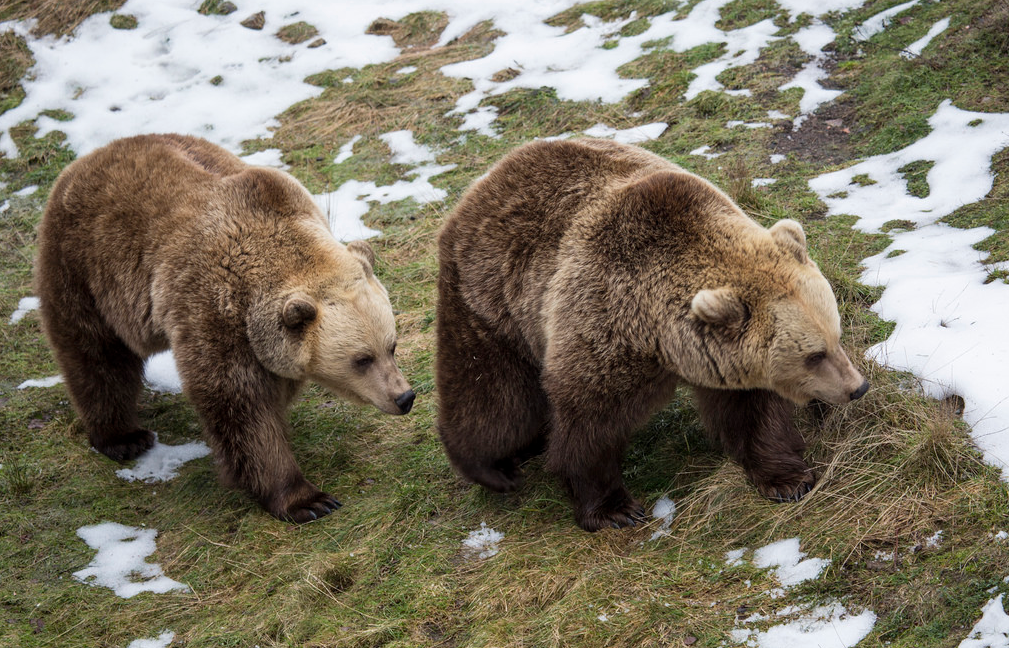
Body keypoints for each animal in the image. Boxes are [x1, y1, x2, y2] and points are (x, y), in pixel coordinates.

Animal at [35, 133, 413, 520]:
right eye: (362, 359)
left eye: (391, 346)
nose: (404, 397)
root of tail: (89, 157)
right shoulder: (213, 307)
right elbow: (239, 402)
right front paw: (307, 499)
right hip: (84, 265)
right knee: (96, 354)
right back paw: (123, 438)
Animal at [433, 137, 867, 528]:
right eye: (813, 355)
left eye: (836, 337)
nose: (857, 387)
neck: (657, 334)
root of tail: (488, 178)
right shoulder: (601, 319)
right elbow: (587, 422)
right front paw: (613, 509)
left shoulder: (723, 357)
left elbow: (753, 411)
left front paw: (789, 479)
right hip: (492, 299)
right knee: (495, 397)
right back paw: (495, 469)